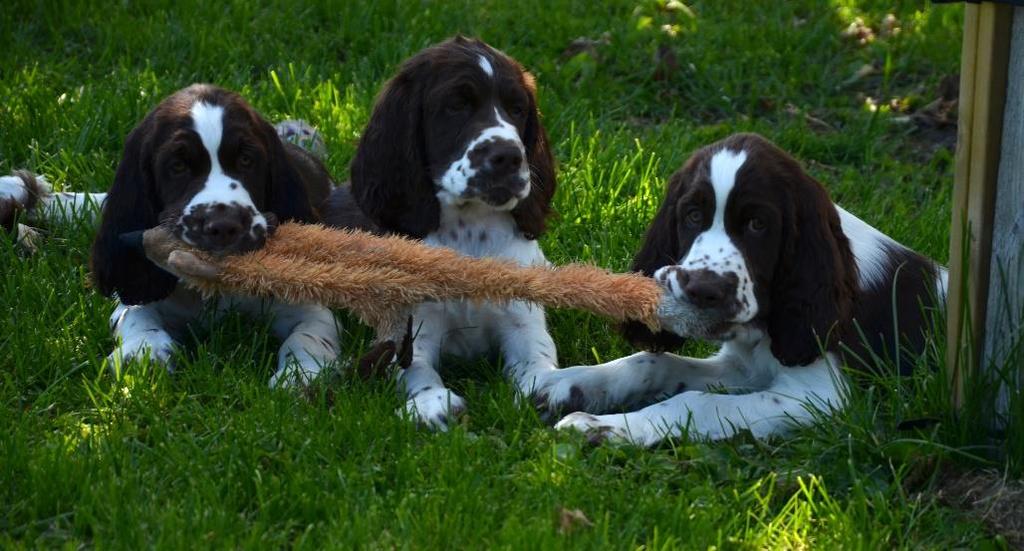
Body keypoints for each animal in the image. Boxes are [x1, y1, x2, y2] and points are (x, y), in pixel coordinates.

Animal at [76, 84, 339, 385]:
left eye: (246, 160)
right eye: (177, 166)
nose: (224, 225)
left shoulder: (308, 307)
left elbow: (310, 334)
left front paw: (302, 375)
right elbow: (136, 315)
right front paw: (145, 352)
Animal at [325, 36, 552, 426]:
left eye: (518, 109)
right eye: (456, 105)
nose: (509, 157)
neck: (470, 229)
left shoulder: (524, 322)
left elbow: (540, 361)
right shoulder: (415, 326)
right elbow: (416, 367)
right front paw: (432, 403)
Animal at [548, 134, 946, 446]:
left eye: (758, 224)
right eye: (693, 215)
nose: (703, 290)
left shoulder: (819, 397)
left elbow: (695, 402)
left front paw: (606, 427)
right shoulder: (744, 367)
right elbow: (655, 361)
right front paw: (569, 382)